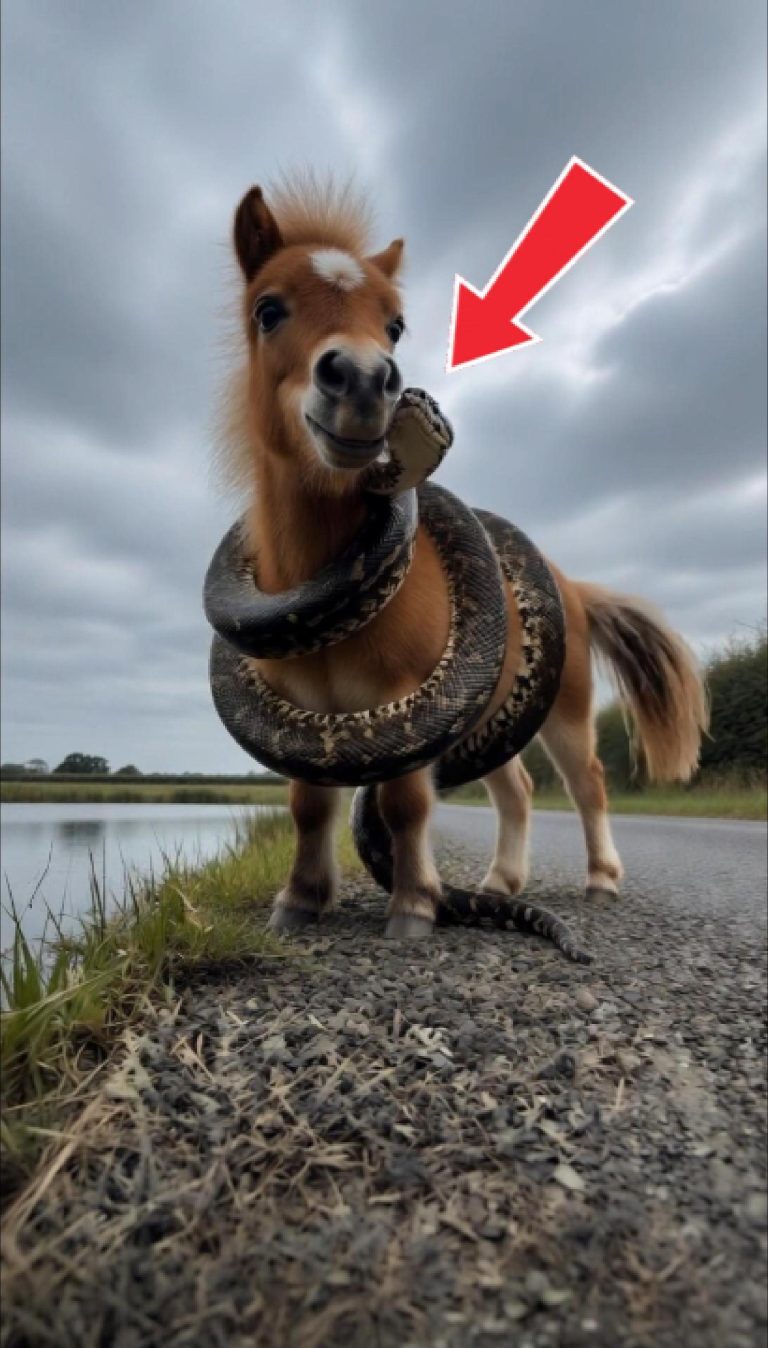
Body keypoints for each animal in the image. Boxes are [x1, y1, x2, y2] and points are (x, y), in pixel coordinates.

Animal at [219, 176, 708, 941]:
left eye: (395, 324)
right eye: (268, 309)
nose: (368, 380)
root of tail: (572, 585)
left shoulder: (409, 697)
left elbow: (406, 805)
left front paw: (414, 907)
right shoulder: (297, 706)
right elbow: (308, 803)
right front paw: (300, 900)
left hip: (563, 704)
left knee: (587, 781)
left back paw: (601, 877)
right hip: (492, 718)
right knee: (519, 787)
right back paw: (501, 880)